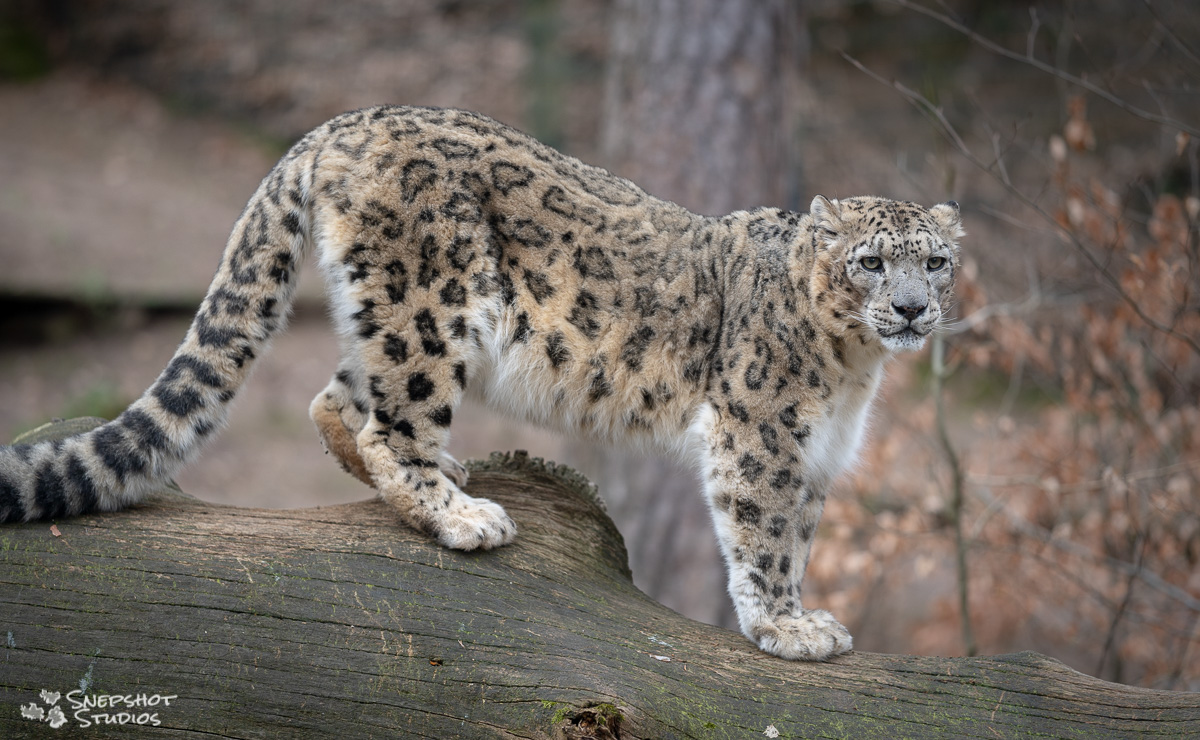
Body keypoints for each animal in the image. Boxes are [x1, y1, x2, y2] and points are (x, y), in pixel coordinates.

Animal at [0, 105, 963, 661]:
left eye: (937, 262)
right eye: (872, 262)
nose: (912, 309)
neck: (853, 368)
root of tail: (344, 122)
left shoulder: (817, 451)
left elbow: (797, 538)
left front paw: (804, 614)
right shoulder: (761, 432)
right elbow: (763, 534)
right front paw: (785, 628)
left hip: (396, 316)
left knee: (336, 395)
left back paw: (442, 478)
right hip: (432, 306)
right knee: (394, 421)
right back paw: (460, 515)